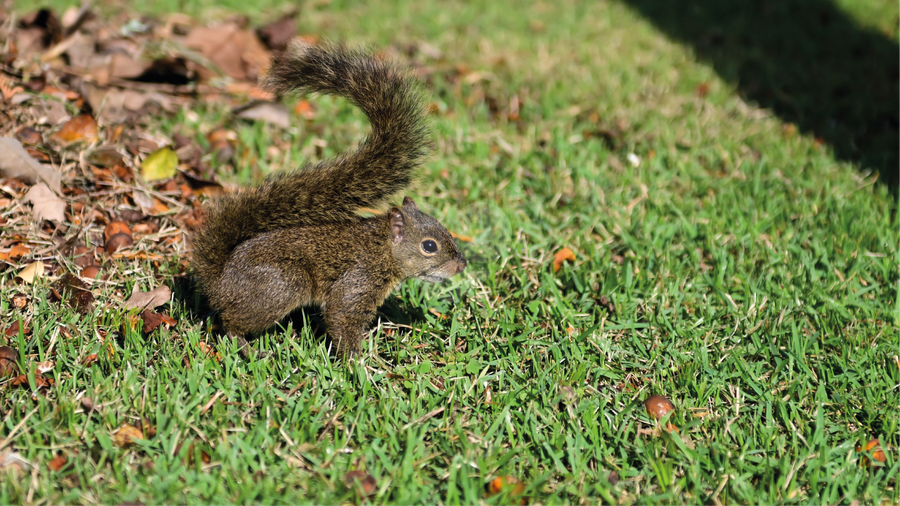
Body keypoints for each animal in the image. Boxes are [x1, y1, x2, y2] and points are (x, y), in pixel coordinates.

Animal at [192, 42, 468, 356]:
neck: (382, 248)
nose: (461, 265)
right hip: (282, 286)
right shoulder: (359, 279)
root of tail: (219, 282)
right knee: (231, 323)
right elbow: (341, 315)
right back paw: (249, 348)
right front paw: (359, 362)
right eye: (429, 246)